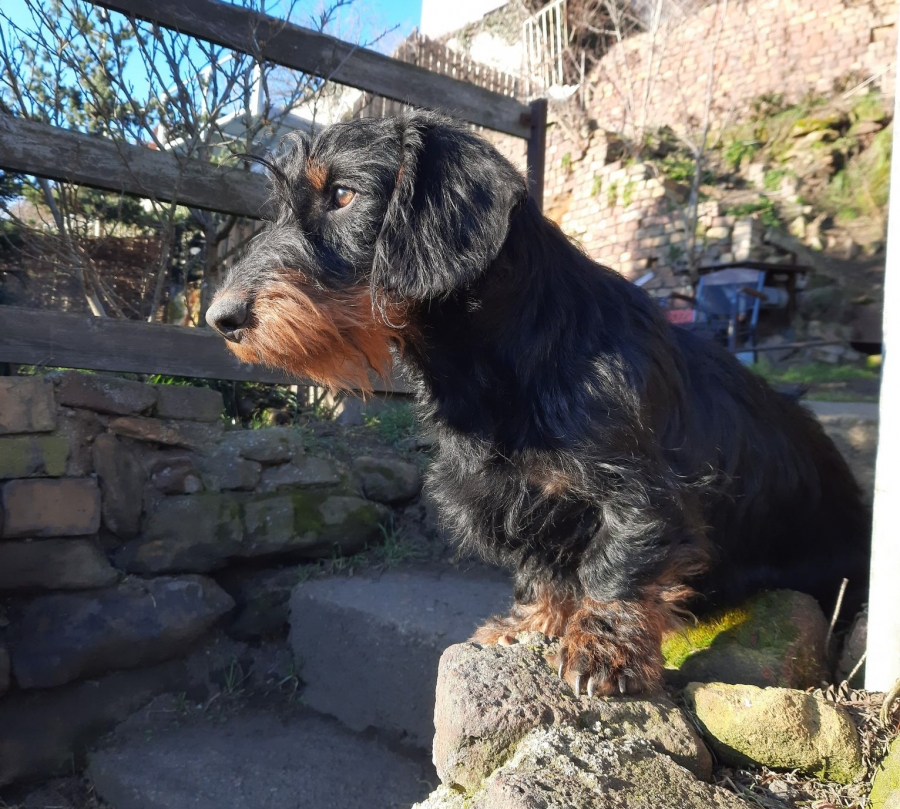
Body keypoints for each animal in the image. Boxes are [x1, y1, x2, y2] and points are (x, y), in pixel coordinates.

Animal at [207, 111, 871, 697]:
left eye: (343, 194)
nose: (221, 320)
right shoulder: (515, 501)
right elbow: (543, 566)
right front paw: (532, 625)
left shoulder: (643, 493)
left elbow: (619, 562)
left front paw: (603, 646)